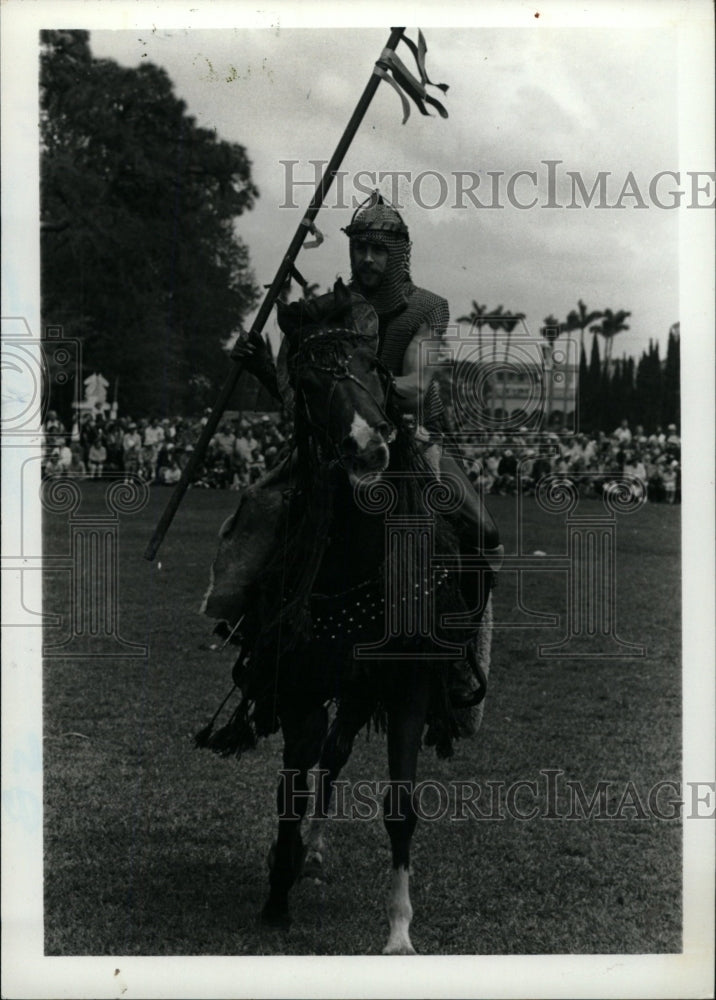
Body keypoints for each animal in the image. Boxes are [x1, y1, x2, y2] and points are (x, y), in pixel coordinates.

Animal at [199, 280, 496, 952]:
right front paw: (276, 896)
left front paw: (400, 929)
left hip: (367, 687)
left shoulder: (408, 686)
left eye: (371, 368)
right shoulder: (299, 687)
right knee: (324, 758)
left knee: (336, 754)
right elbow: (293, 784)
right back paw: (301, 855)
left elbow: (400, 807)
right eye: (308, 382)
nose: (369, 446)